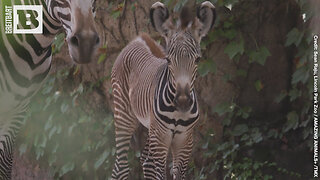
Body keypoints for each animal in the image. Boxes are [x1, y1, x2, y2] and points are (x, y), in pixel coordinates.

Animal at [110, 1, 218, 179]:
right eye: (168, 60)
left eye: (198, 59)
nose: (183, 102)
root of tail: (138, 38)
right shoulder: (161, 138)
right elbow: (161, 173)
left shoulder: (184, 140)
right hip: (124, 115)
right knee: (120, 166)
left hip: (150, 127)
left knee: (146, 161)